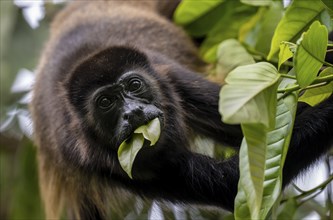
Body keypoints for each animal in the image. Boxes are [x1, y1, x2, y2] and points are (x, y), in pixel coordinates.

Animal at [29, 0, 330, 219]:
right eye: (105, 103)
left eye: (135, 85)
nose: (133, 112)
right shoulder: (84, 154)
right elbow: (231, 183)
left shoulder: (171, 76)